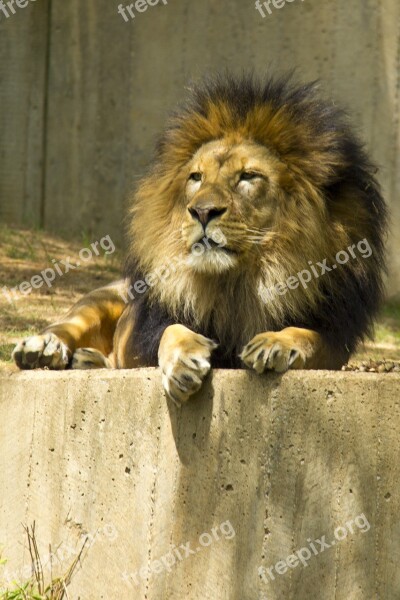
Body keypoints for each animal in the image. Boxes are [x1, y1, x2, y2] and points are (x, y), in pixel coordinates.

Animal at [13, 72, 388, 406]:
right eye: (196, 177)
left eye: (248, 176)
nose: (202, 211)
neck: (239, 282)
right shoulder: (155, 324)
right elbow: (172, 331)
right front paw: (183, 362)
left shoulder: (335, 336)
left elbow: (309, 337)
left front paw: (276, 343)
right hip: (101, 298)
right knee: (69, 323)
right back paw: (42, 349)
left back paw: (88, 359)